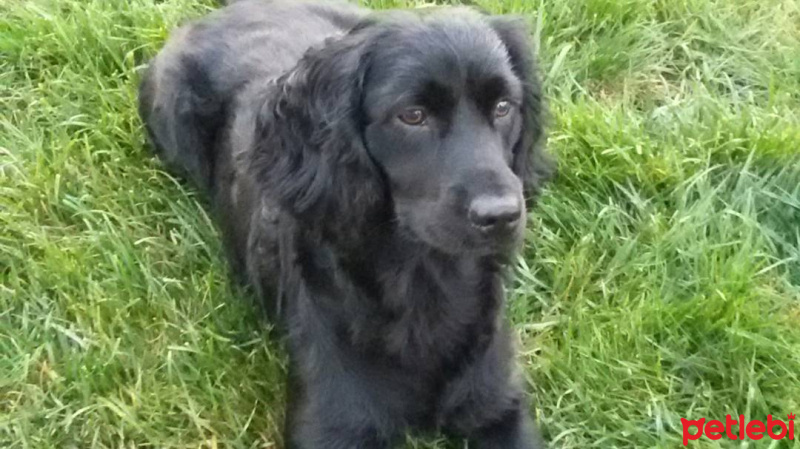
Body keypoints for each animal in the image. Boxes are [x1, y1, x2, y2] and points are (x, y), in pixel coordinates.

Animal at [138, 0, 552, 444]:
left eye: (504, 107)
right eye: (413, 116)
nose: (502, 215)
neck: (424, 279)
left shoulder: (498, 407)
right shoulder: (330, 425)